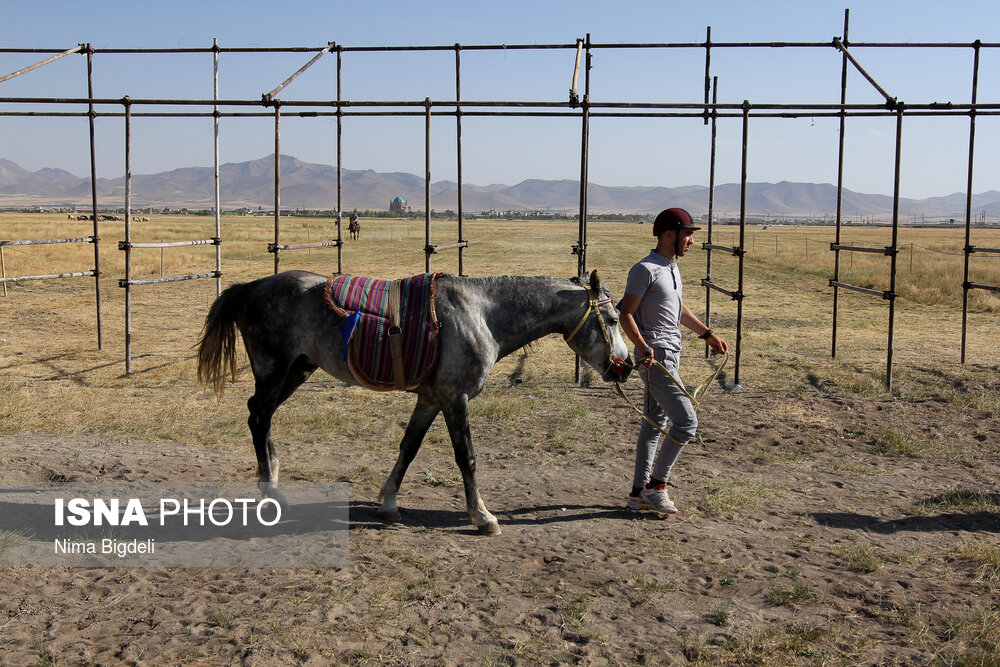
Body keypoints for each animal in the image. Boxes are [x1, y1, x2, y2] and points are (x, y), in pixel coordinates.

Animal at [197, 268, 632, 536]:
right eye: (612, 320)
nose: (625, 366)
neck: (482, 315)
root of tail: (250, 287)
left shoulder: (430, 399)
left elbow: (409, 447)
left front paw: (388, 502)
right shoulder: (456, 398)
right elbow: (466, 458)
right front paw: (483, 517)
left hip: (297, 370)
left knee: (260, 414)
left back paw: (270, 472)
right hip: (274, 370)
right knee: (259, 416)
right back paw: (272, 491)